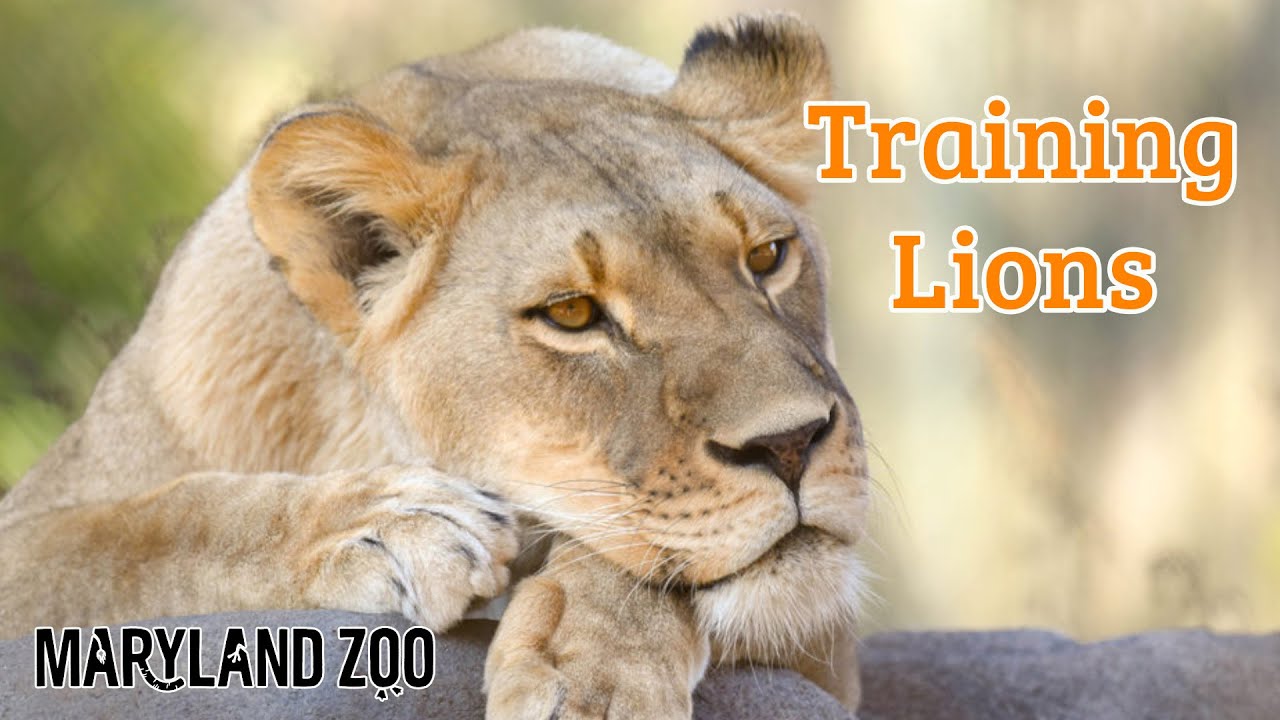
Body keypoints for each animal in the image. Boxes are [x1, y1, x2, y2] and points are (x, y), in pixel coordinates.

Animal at [0, 12, 870, 717]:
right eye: (571, 313)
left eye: (768, 257)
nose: (791, 443)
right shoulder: (48, 523)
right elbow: (133, 538)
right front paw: (384, 523)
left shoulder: (825, 658)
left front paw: (596, 670)